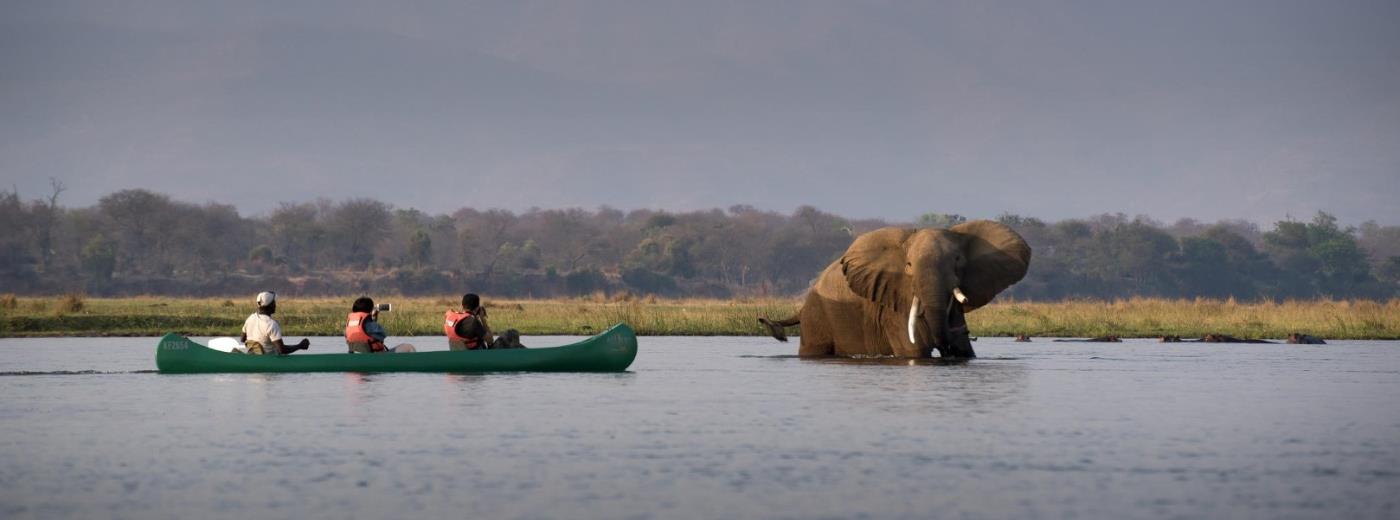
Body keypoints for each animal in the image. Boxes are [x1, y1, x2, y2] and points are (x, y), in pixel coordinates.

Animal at [761, 221, 1036, 361]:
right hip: (817, 316)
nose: (946, 348)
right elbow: (914, 350)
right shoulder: (892, 303)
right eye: (909, 265)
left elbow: (966, 352)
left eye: (958, 260)